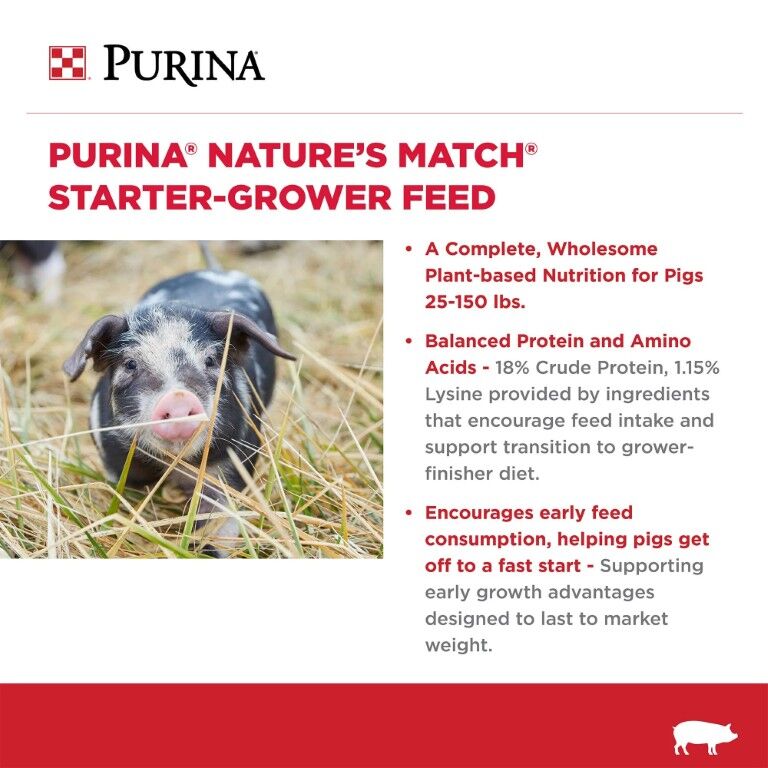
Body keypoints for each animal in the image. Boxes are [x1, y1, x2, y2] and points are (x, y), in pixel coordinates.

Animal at [63, 269, 295, 556]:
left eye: (210, 360)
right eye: (130, 364)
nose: (178, 397)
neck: (172, 465)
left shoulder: (232, 465)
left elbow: (218, 523)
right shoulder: (115, 465)